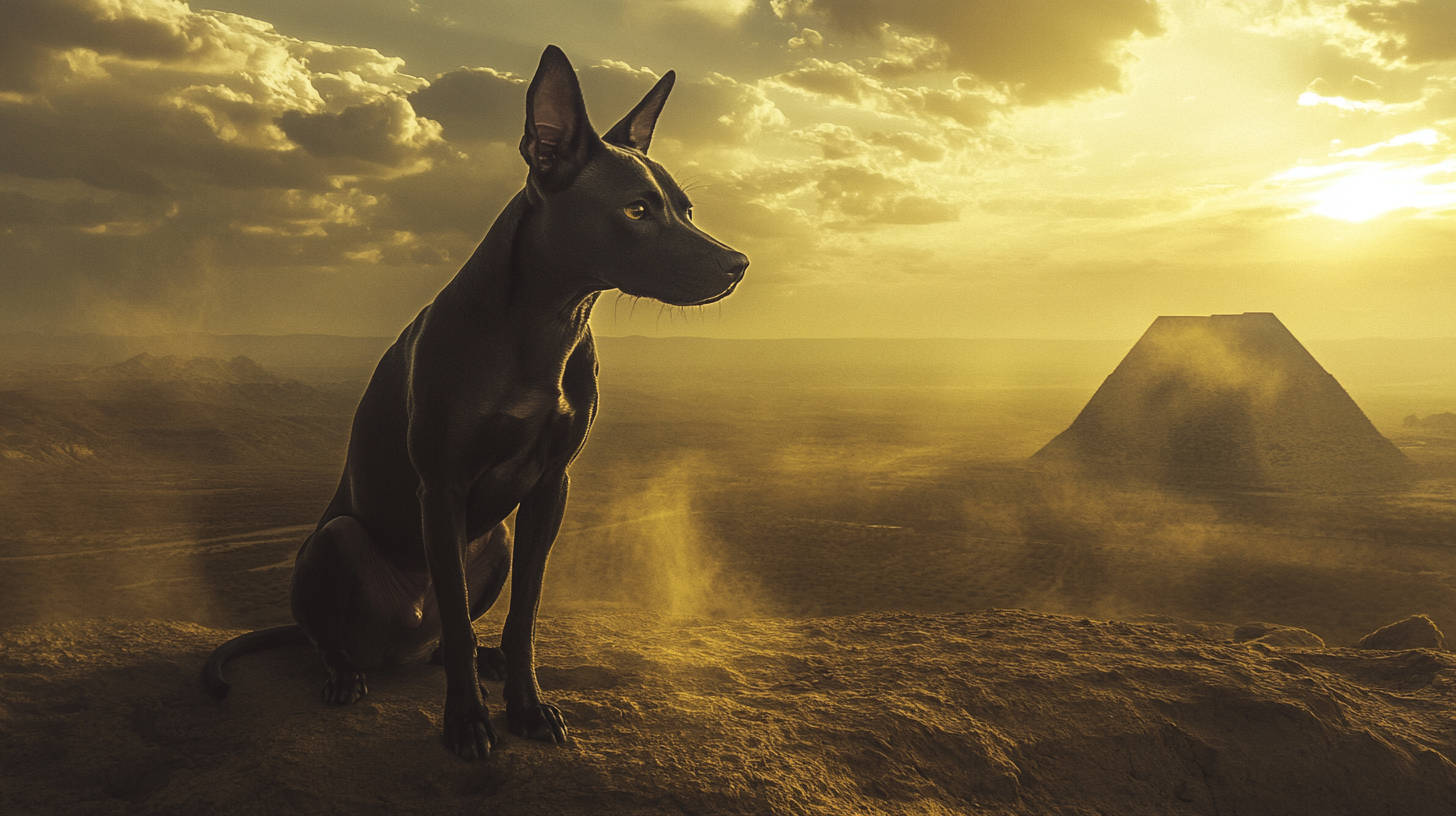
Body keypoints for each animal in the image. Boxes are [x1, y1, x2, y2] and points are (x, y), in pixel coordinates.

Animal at [202, 44, 751, 757]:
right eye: (636, 210)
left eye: (686, 209)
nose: (738, 264)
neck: (543, 325)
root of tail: (401, 643)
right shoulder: (442, 485)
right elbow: (461, 624)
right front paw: (466, 722)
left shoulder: (550, 487)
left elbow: (524, 616)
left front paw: (526, 705)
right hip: (340, 543)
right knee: (353, 635)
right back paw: (345, 674)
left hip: (496, 541)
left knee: (444, 635)